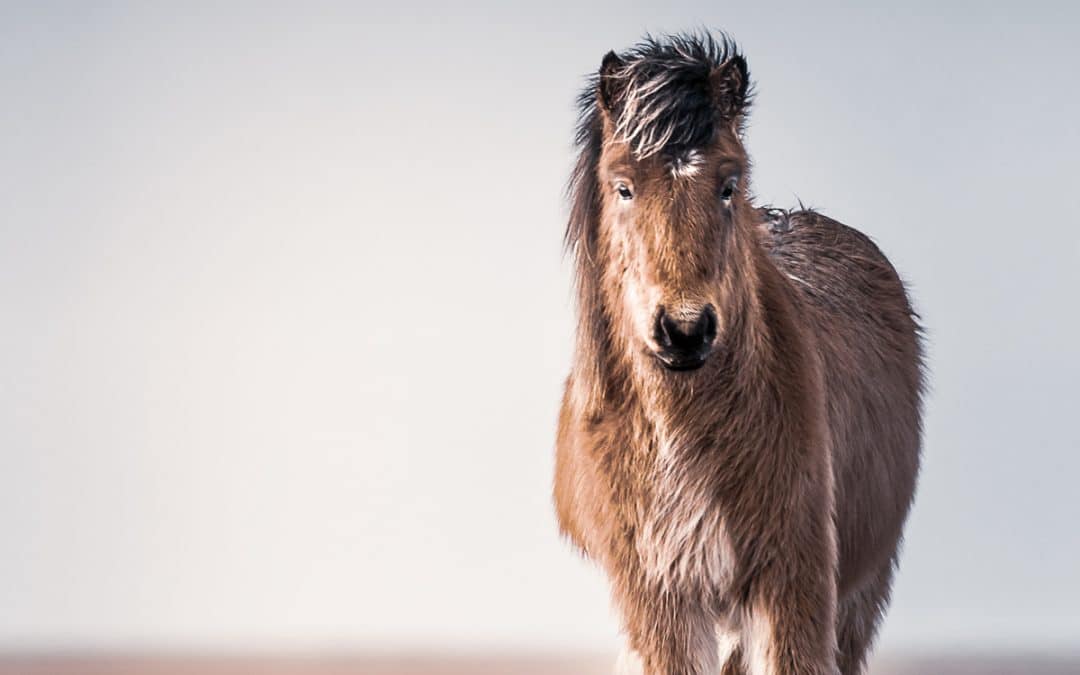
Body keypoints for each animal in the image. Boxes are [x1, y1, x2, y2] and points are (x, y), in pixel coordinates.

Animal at [553, 33, 924, 675]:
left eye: (728, 185)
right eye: (623, 186)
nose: (684, 331)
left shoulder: (792, 581)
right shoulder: (660, 596)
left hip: (861, 586)